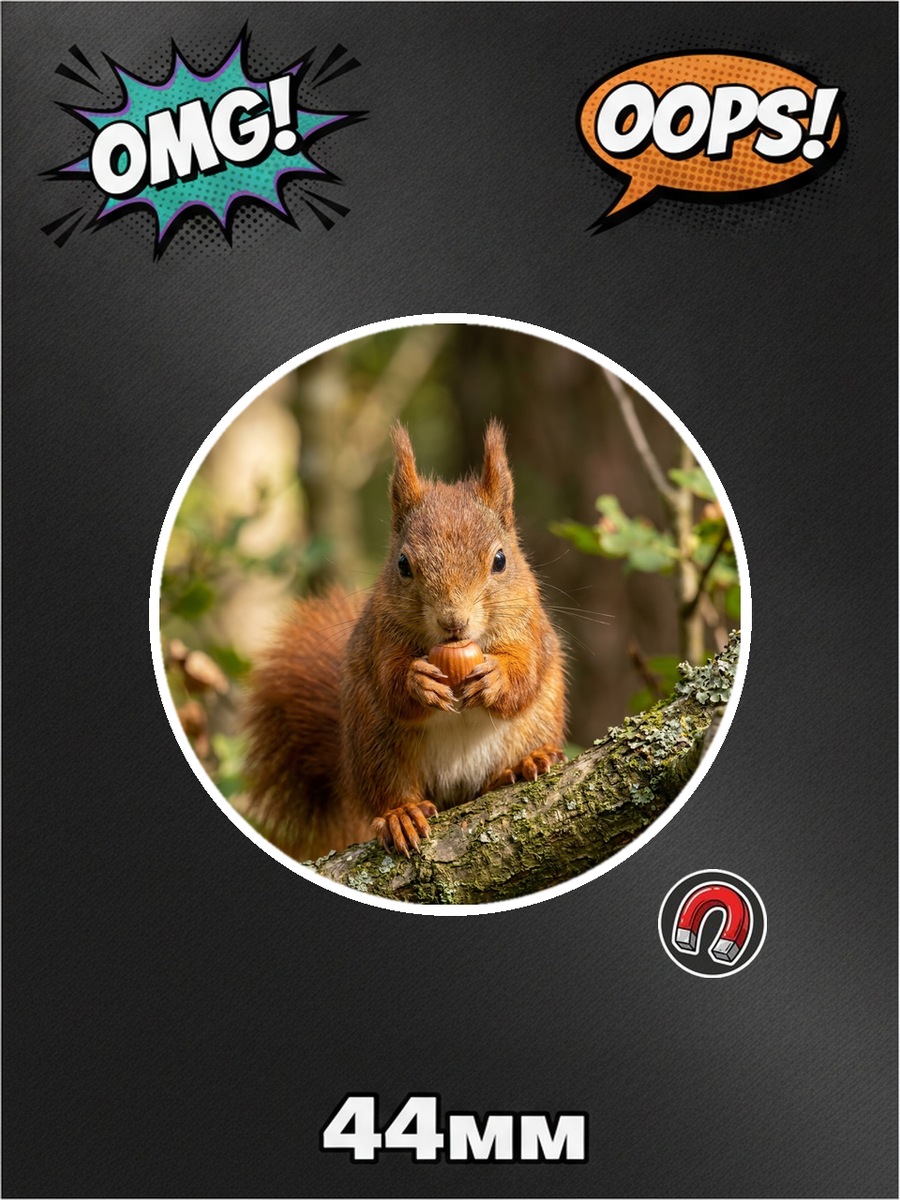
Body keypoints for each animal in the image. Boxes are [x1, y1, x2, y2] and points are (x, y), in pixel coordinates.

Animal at [242, 419, 567, 860]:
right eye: (403, 565)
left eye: (500, 560)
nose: (453, 621)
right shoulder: (382, 635)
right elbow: (391, 683)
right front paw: (419, 681)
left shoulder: (528, 626)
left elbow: (525, 672)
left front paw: (496, 678)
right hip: (377, 744)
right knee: (390, 790)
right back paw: (402, 814)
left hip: (538, 719)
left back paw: (522, 765)